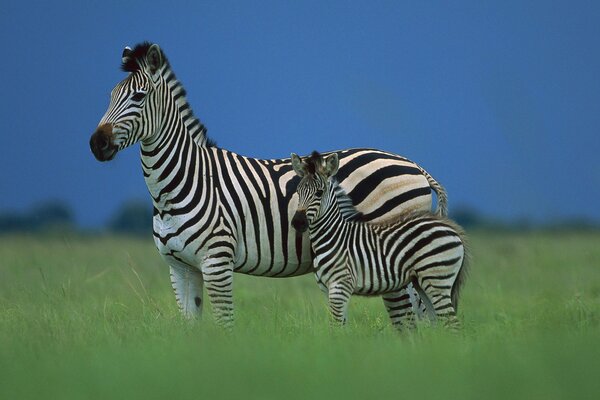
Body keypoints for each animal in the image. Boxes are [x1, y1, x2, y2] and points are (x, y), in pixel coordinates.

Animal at [88, 42, 446, 328]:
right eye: (109, 97)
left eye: (138, 97)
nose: (96, 144)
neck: (179, 183)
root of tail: (415, 166)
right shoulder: (180, 268)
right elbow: (191, 330)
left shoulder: (217, 262)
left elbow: (224, 326)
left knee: (413, 318)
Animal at [290, 152, 468, 330]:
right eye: (297, 191)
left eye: (319, 193)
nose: (297, 222)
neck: (334, 235)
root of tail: (453, 230)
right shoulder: (328, 288)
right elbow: (340, 327)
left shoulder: (340, 284)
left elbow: (335, 327)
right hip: (423, 282)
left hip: (436, 279)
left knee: (451, 323)